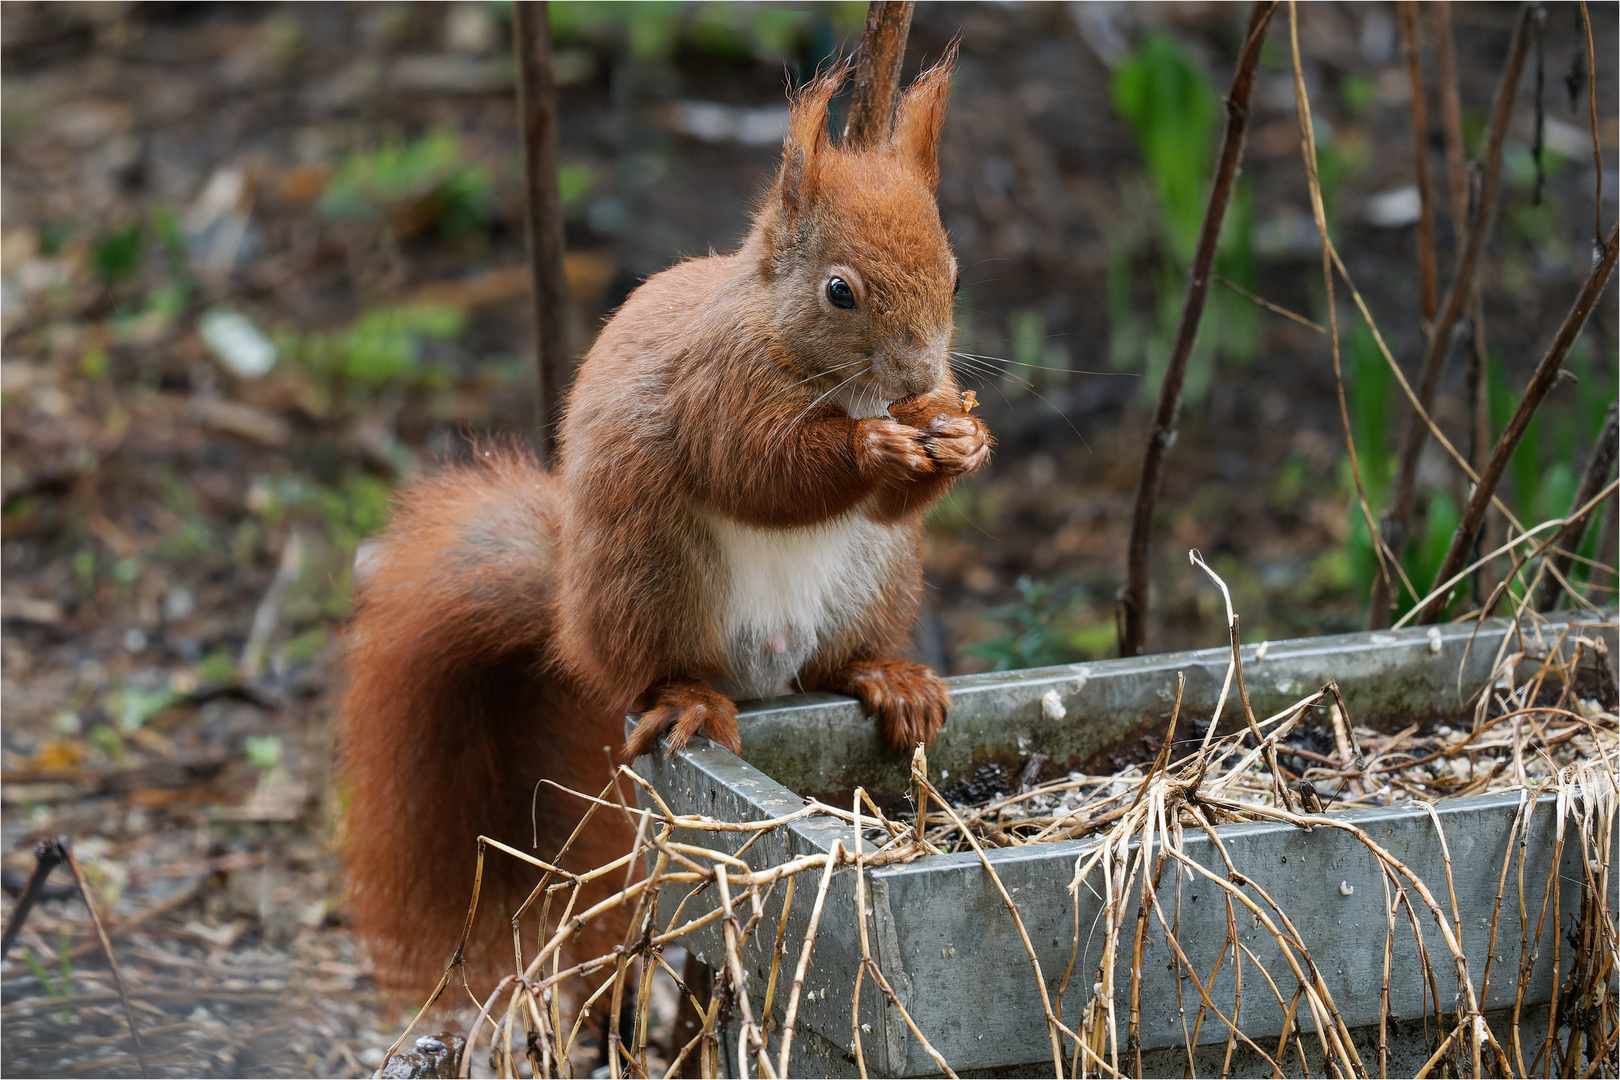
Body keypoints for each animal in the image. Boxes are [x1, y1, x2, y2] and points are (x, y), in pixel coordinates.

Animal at [341, 57, 984, 1003]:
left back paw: (887, 678)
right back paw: (688, 700)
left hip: (877, 580)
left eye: (957, 276)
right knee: (652, 675)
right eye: (839, 291)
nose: (919, 377)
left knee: (834, 663)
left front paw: (961, 441)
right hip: (653, 579)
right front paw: (874, 447)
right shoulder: (714, 385)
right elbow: (756, 470)